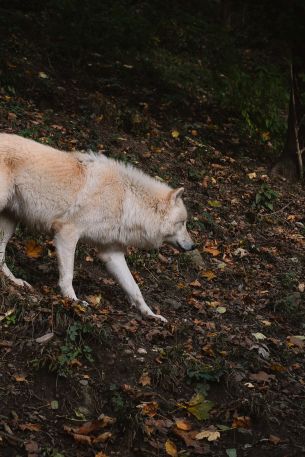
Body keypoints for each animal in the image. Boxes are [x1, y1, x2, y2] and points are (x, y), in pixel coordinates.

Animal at [0, 134, 195, 322]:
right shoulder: (66, 232)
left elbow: (135, 288)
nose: (194, 246)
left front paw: (151, 315)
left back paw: (15, 281)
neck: (126, 200)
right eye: (182, 223)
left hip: (9, 223)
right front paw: (73, 301)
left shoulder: (111, 252)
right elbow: (68, 275)